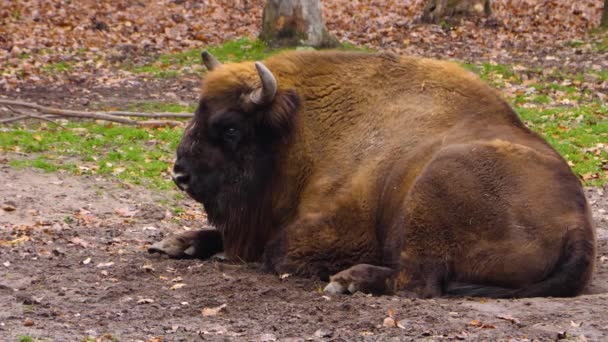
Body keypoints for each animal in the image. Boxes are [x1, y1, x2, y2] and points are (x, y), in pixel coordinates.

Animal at [150, 49, 596, 298]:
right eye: (198, 113)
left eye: (230, 128)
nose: (180, 174)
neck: (299, 128)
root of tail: (580, 226)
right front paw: (175, 243)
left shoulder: (336, 230)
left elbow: (274, 252)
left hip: (432, 187)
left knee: (418, 282)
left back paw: (348, 280)